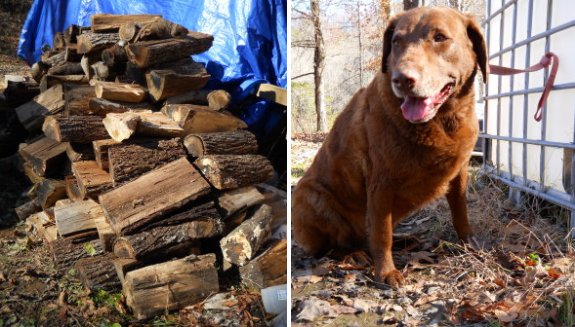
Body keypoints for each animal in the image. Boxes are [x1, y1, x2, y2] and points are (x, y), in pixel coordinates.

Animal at [292, 7, 486, 288]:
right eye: (396, 41)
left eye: (439, 37)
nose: (402, 79)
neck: (441, 121)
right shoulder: (381, 183)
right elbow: (382, 234)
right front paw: (385, 272)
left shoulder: (459, 172)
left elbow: (460, 211)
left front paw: (468, 242)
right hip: (310, 196)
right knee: (332, 246)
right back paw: (354, 254)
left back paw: (406, 241)